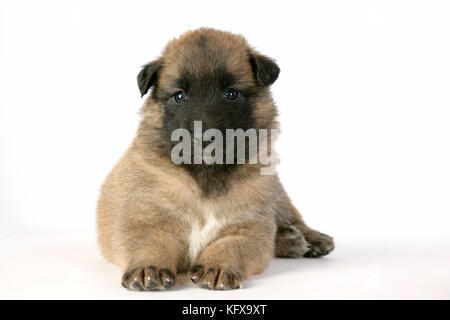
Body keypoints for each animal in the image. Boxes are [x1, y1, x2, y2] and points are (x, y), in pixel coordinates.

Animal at [96, 28, 334, 292]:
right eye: (179, 96)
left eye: (231, 93)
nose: (203, 138)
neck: (205, 176)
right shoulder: (146, 219)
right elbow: (150, 243)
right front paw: (149, 266)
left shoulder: (248, 226)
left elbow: (232, 245)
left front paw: (217, 266)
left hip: (276, 192)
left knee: (291, 215)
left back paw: (309, 239)